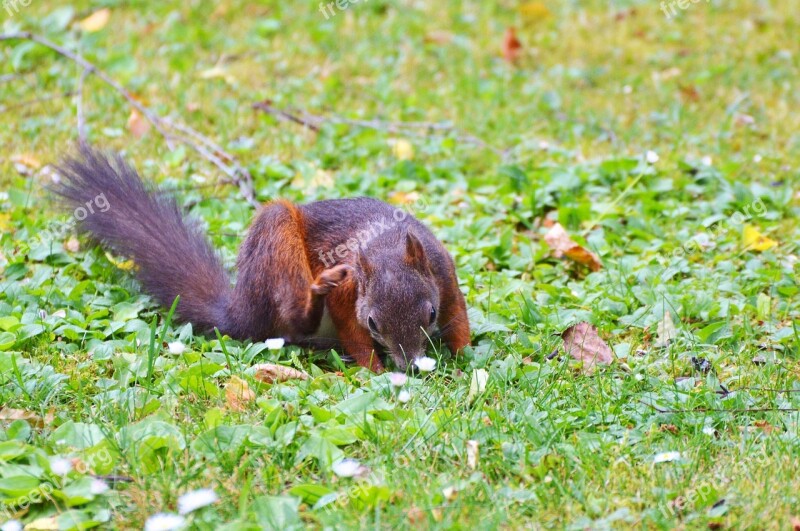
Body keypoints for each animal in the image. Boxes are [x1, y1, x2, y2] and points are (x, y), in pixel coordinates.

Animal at [54, 148, 468, 372]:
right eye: (373, 323)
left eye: (430, 313)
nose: (410, 364)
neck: (383, 243)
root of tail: (239, 311)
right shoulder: (349, 291)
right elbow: (352, 329)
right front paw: (375, 369)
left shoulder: (443, 272)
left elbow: (458, 314)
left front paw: (464, 358)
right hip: (276, 238)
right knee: (296, 321)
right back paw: (316, 292)